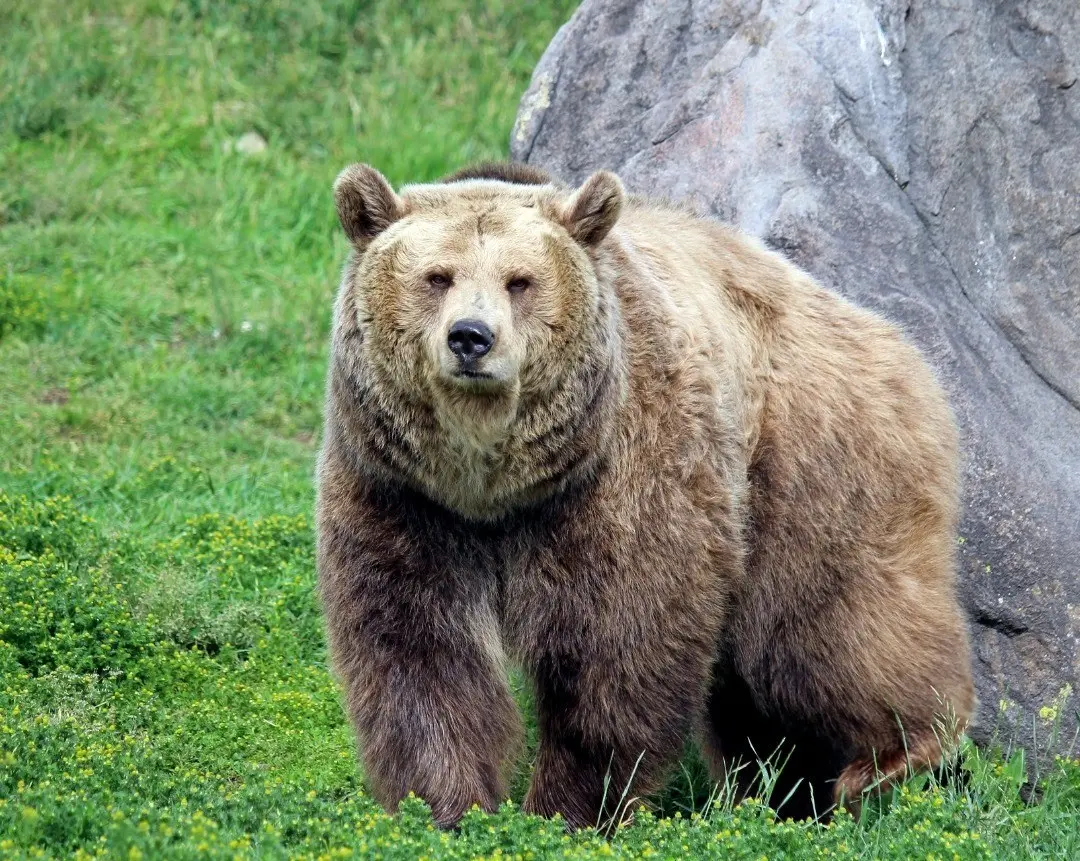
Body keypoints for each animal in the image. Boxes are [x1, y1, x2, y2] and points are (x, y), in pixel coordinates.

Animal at [315, 159, 980, 825]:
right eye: (437, 276)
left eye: (520, 281)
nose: (470, 338)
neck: (493, 487)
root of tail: (888, 334)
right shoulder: (402, 495)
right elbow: (418, 653)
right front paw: (446, 808)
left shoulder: (623, 473)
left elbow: (620, 641)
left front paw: (572, 808)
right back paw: (781, 791)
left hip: (810, 458)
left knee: (824, 628)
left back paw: (891, 757)